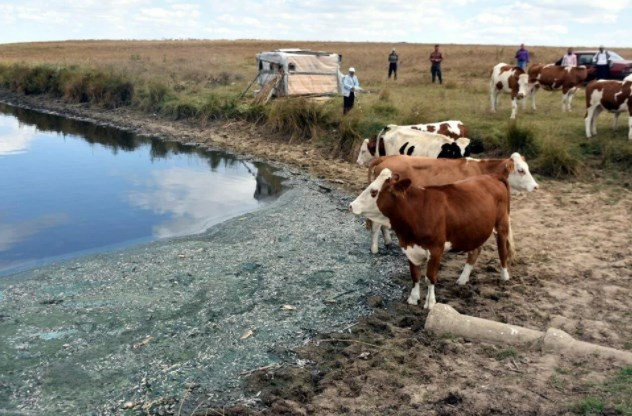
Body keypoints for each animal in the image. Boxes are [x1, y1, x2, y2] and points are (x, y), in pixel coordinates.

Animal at [348, 170, 516, 308]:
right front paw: (413, 298)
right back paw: (463, 279)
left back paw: (505, 277)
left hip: (502, 224)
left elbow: (430, 277)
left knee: (502, 250)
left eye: (374, 191)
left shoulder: (436, 249)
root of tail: (492, 176)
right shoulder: (410, 248)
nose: (351, 205)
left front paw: (430, 302)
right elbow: (415, 275)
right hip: (475, 230)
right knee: (475, 251)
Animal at [362, 153, 536, 254]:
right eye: (521, 170)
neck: (482, 170)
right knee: (376, 225)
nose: (536, 186)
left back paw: (388, 241)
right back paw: (374, 248)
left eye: (528, 168)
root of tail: (387, 157)